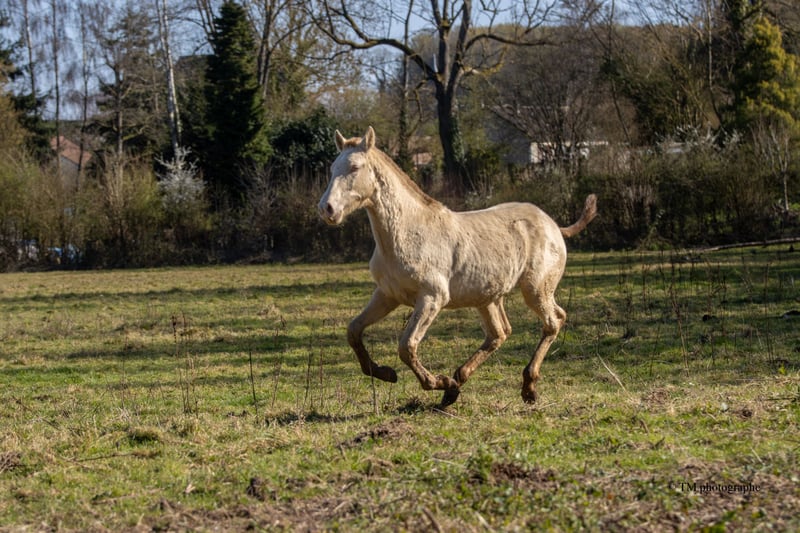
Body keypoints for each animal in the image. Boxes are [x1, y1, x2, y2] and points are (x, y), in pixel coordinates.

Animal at [318, 127, 597, 406]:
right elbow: (354, 330)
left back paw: (527, 387)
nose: (326, 209)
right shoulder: (387, 295)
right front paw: (386, 373)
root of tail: (553, 225)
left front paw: (437, 382)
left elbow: (407, 346)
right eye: (332, 168)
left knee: (553, 321)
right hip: (488, 297)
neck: (407, 233)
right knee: (501, 333)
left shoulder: (432, 298)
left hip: (535, 290)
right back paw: (458, 383)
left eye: (354, 167)